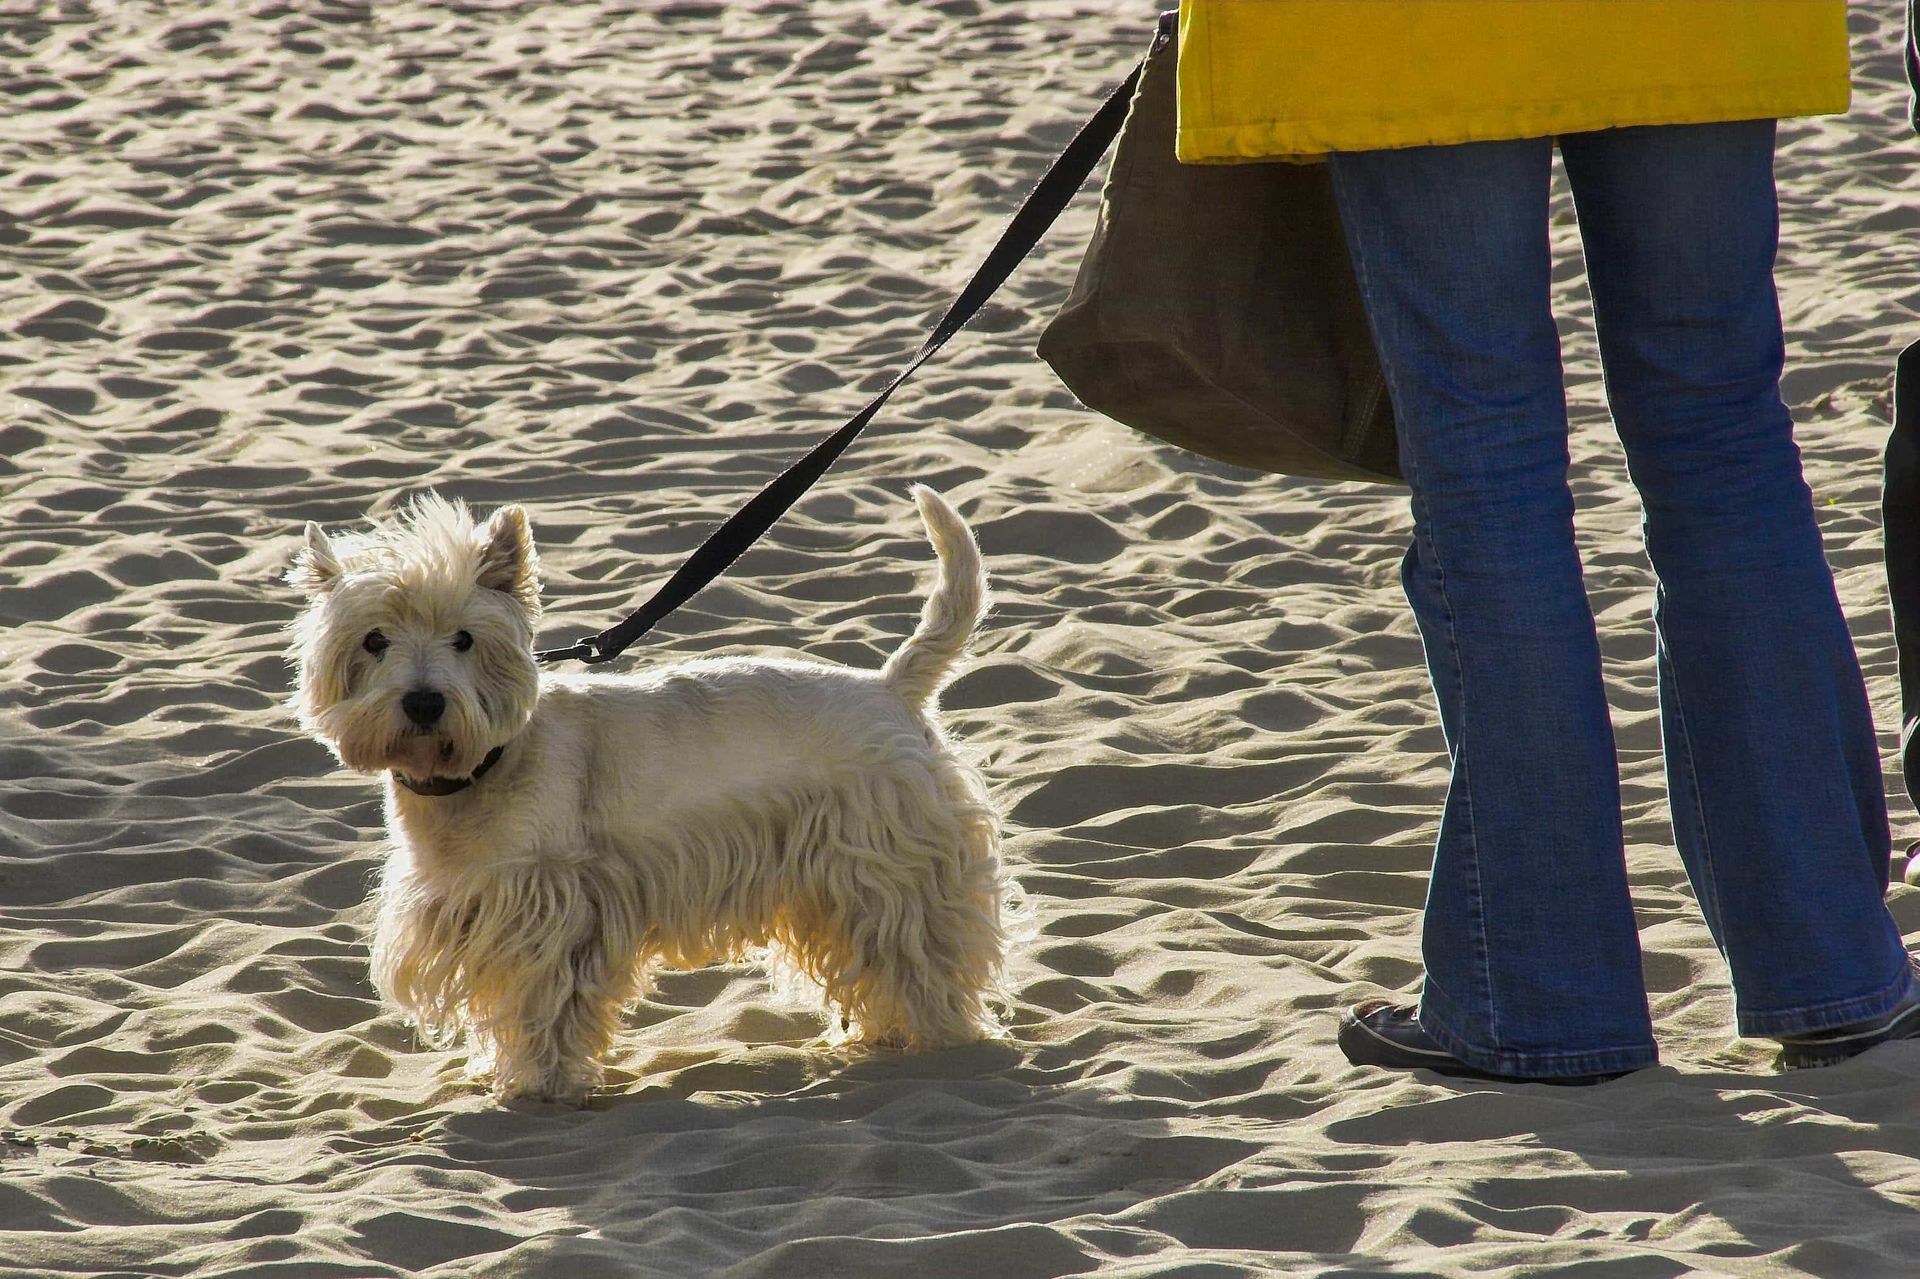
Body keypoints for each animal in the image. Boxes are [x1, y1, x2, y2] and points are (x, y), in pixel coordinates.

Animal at [286, 487, 1009, 1102]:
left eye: (464, 638)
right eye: (374, 640)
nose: (424, 702)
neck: (482, 767)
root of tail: (892, 687)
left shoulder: (549, 905)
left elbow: (543, 1003)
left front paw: (535, 1083)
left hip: (891, 865)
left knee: (926, 954)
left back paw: (937, 1037)